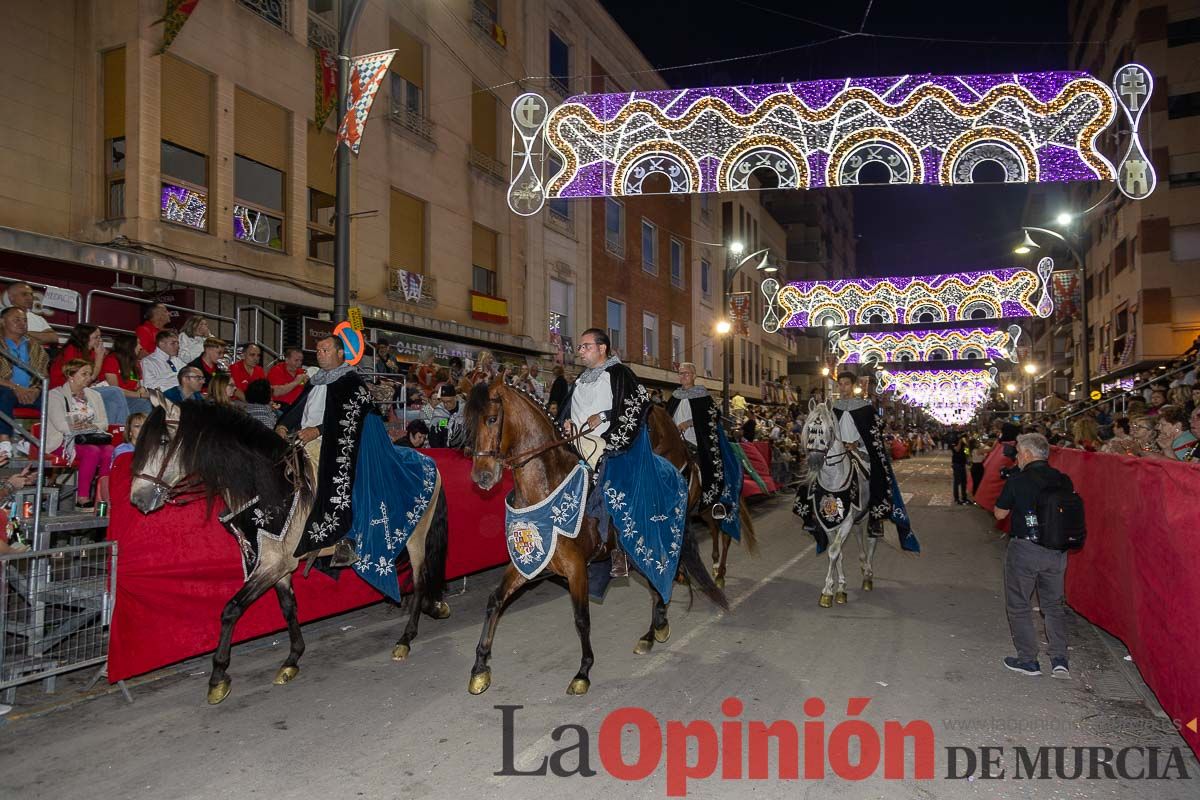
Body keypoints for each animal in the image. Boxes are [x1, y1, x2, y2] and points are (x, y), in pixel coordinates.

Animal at [129, 398, 451, 705]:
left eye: (163, 441)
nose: (137, 500)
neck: (265, 486)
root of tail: (428, 461)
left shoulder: (271, 566)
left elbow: (231, 609)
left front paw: (218, 677)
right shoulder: (277, 565)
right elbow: (288, 608)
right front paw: (292, 659)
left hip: (416, 536)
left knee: (420, 579)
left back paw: (406, 638)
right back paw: (431, 607)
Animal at [463, 379, 729, 695]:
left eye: (492, 419)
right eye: (468, 423)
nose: (482, 477)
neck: (546, 486)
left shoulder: (576, 568)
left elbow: (581, 618)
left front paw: (583, 672)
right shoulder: (526, 562)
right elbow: (495, 600)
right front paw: (480, 668)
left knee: (662, 577)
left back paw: (659, 625)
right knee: (660, 583)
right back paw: (654, 632)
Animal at [796, 400, 883, 606]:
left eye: (829, 429)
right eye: (809, 428)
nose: (814, 461)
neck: (833, 482)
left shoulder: (846, 521)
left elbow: (834, 550)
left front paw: (828, 591)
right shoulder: (828, 523)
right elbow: (837, 552)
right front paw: (840, 587)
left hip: (870, 514)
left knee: (872, 539)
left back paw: (868, 574)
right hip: (858, 517)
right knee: (859, 537)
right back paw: (863, 565)